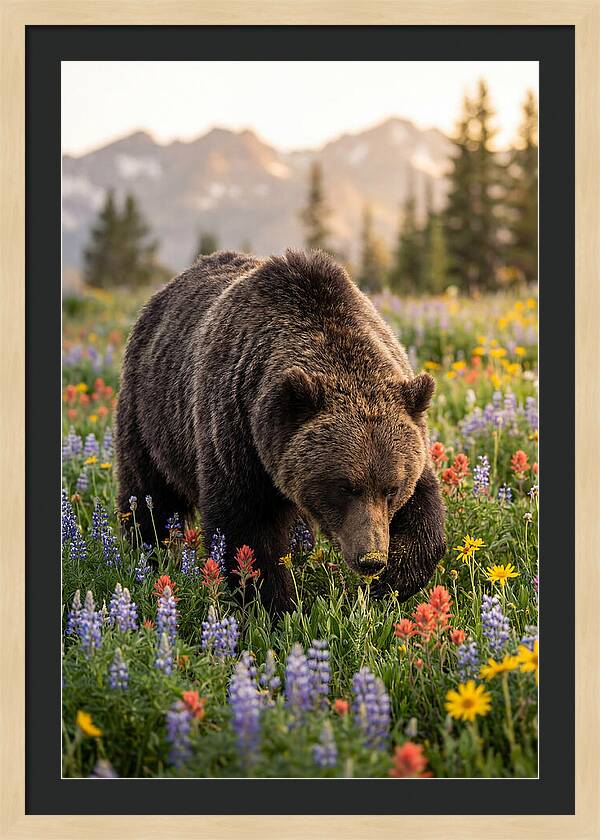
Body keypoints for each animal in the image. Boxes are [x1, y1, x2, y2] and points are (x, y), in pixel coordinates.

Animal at [115, 249, 446, 613]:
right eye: (345, 487)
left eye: (392, 489)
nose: (370, 558)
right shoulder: (236, 433)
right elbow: (247, 531)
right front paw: (273, 607)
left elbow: (425, 512)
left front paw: (390, 584)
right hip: (151, 415)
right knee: (149, 493)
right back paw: (146, 553)